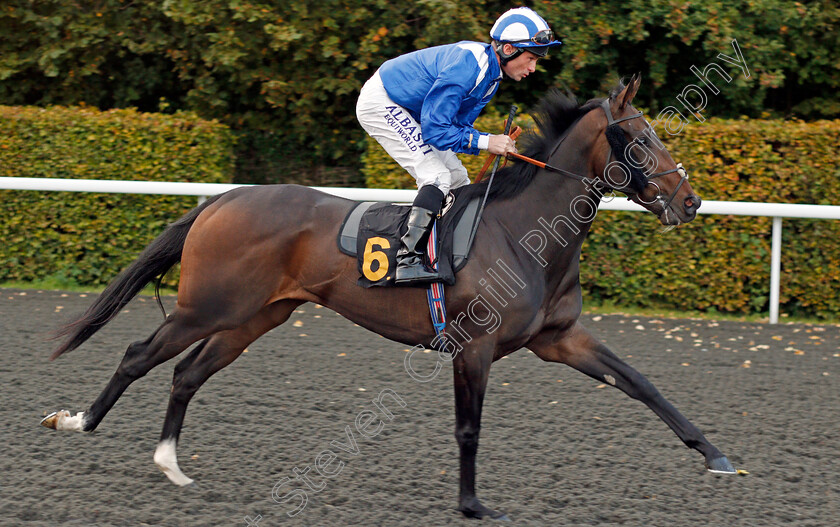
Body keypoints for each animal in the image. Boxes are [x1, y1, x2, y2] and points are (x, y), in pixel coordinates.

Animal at [42, 76, 732, 520]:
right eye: (639, 140)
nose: (691, 202)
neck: (525, 234)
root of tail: (221, 199)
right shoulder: (474, 347)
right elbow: (468, 427)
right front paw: (472, 504)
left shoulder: (559, 338)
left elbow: (640, 383)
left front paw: (717, 456)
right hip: (207, 308)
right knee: (138, 353)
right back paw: (77, 422)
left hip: (254, 317)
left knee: (186, 373)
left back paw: (170, 463)